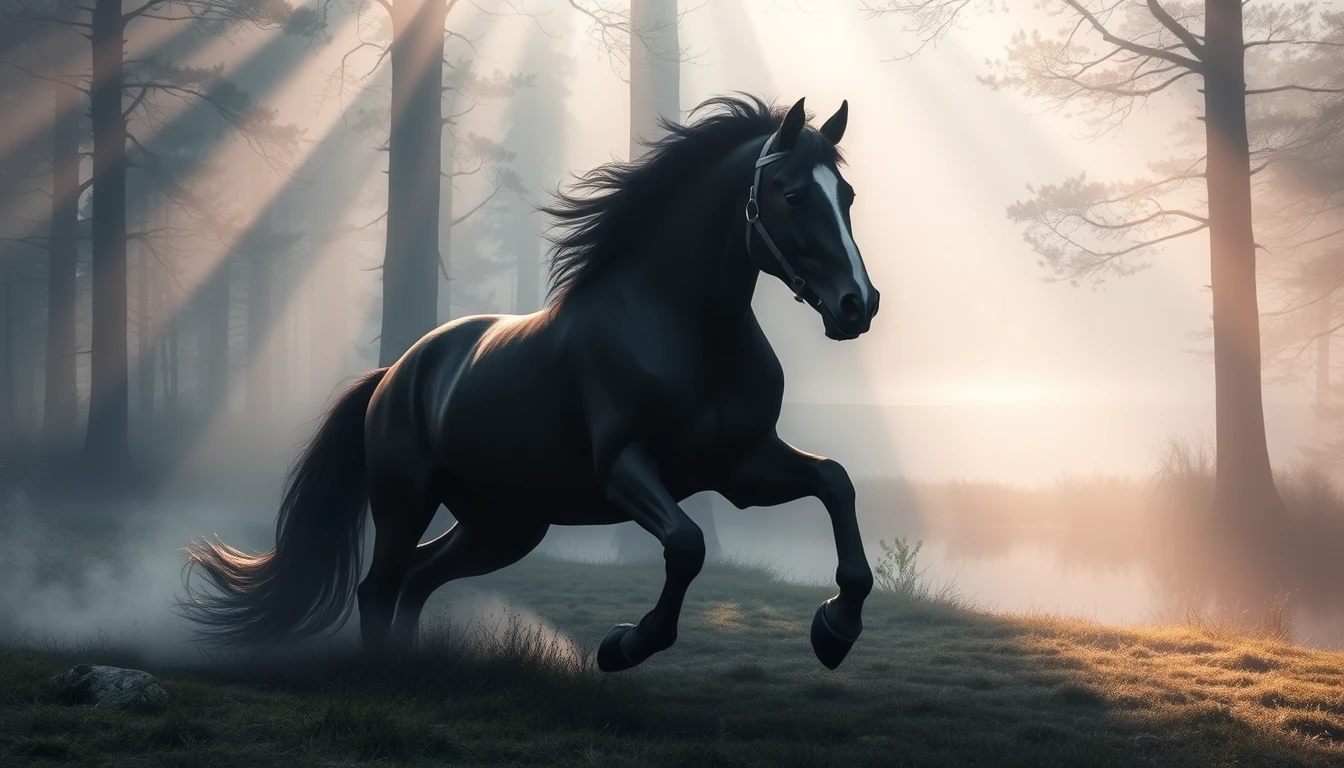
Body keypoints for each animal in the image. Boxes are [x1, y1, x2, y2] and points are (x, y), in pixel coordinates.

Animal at [181, 94, 881, 672]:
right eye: (793, 194)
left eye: (847, 195)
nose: (858, 305)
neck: (685, 330)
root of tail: (397, 372)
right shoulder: (624, 468)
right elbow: (686, 545)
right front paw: (624, 645)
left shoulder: (738, 468)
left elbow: (836, 482)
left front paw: (834, 630)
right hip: (407, 500)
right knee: (379, 585)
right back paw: (385, 674)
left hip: (504, 524)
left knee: (419, 577)